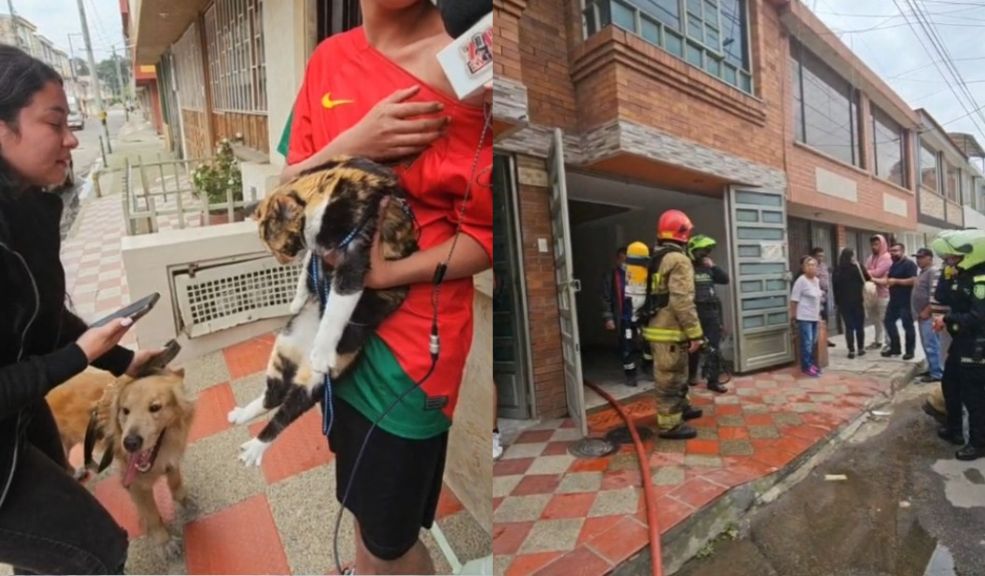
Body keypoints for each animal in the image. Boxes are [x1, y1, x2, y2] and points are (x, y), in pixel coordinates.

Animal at [229, 158, 418, 468]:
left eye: (280, 247)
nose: (281, 262)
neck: (328, 188)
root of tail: (301, 352)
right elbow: (310, 262)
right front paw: (298, 299)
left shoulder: (355, 254)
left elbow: (336, 309)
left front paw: (323, 347)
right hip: (282, 353)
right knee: (273, 396)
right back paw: (244, 416)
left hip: (313, 384)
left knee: (282, 414)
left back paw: (255, 448)